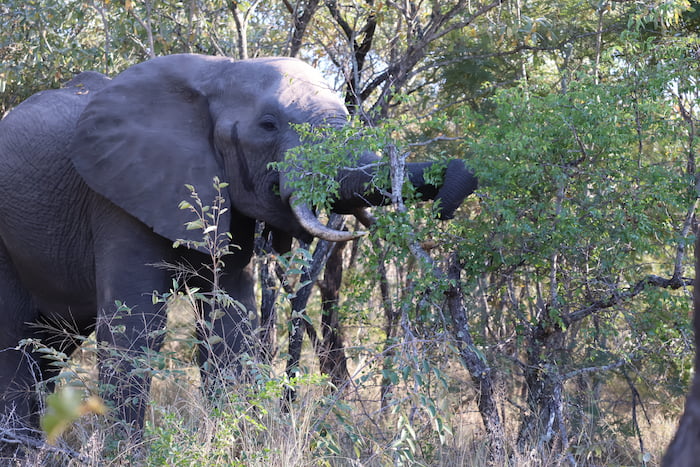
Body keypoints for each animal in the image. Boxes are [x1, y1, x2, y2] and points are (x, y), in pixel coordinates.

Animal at [0, 54, 477, 442]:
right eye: (268, 125)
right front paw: (127, 454)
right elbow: (134, 329)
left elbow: (230, 326)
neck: (218, 73)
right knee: (13, 339)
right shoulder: (117, 195)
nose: (457, 184)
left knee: (49, 346)